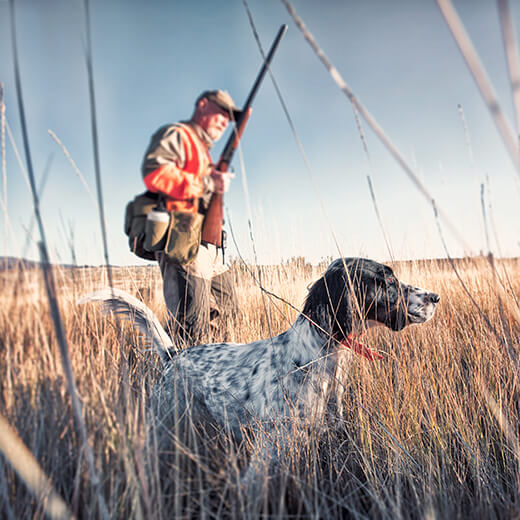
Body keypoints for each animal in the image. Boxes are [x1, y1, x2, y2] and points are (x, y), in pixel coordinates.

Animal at [80, 258, 438, 486]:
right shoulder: (270, 448)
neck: (314, 356)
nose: (435, 296)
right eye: (386, 280)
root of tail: (174, 355)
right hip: (164, 423)